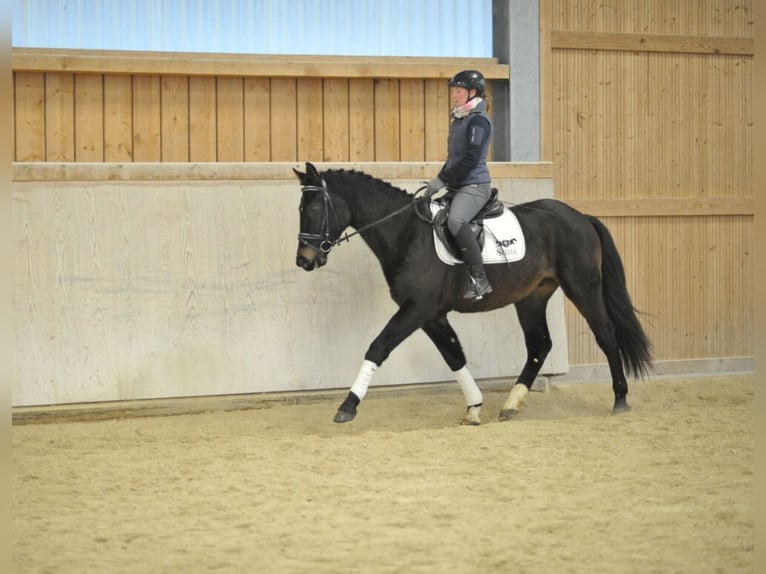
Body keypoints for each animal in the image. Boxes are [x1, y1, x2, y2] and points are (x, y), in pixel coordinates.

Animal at [294, 164, 656, 426]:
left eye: (313, 209)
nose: (304, 261)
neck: (407, 234)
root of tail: (581, 217)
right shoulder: (431, 315)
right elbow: (454, 356)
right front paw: (474, 407)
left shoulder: (416, 309)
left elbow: (378, 347)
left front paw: (347, 406)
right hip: (531, 298)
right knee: (539, 345)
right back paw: (511, 404)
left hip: (582, 287)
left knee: (606, 336)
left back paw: (620, 400)